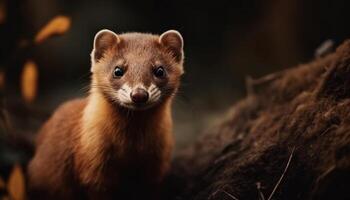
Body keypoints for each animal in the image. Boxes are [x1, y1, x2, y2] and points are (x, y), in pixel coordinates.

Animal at [28, 28, 183, 199]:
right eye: (118, 70)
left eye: (160, 70)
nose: (139, 94)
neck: (130, 148)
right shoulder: (93, 163)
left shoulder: (158, 163)